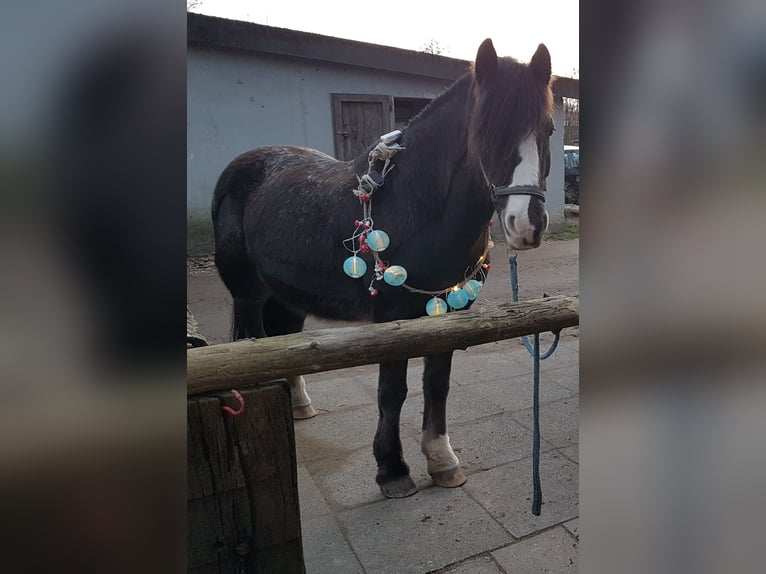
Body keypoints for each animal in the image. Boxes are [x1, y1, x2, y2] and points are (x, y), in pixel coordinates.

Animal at [213, 39, 556, 500]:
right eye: (485, 130)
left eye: (548, 130)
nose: (528, 224)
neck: (416, 206)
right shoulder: (392, 317)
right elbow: (393, 390)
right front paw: (392, 469)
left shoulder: (449, 312)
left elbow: (437, 383)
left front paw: (442, 460)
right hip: (248, 293)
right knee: (256, 341)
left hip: (287, 293)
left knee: (283, 337)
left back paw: (299, 404)